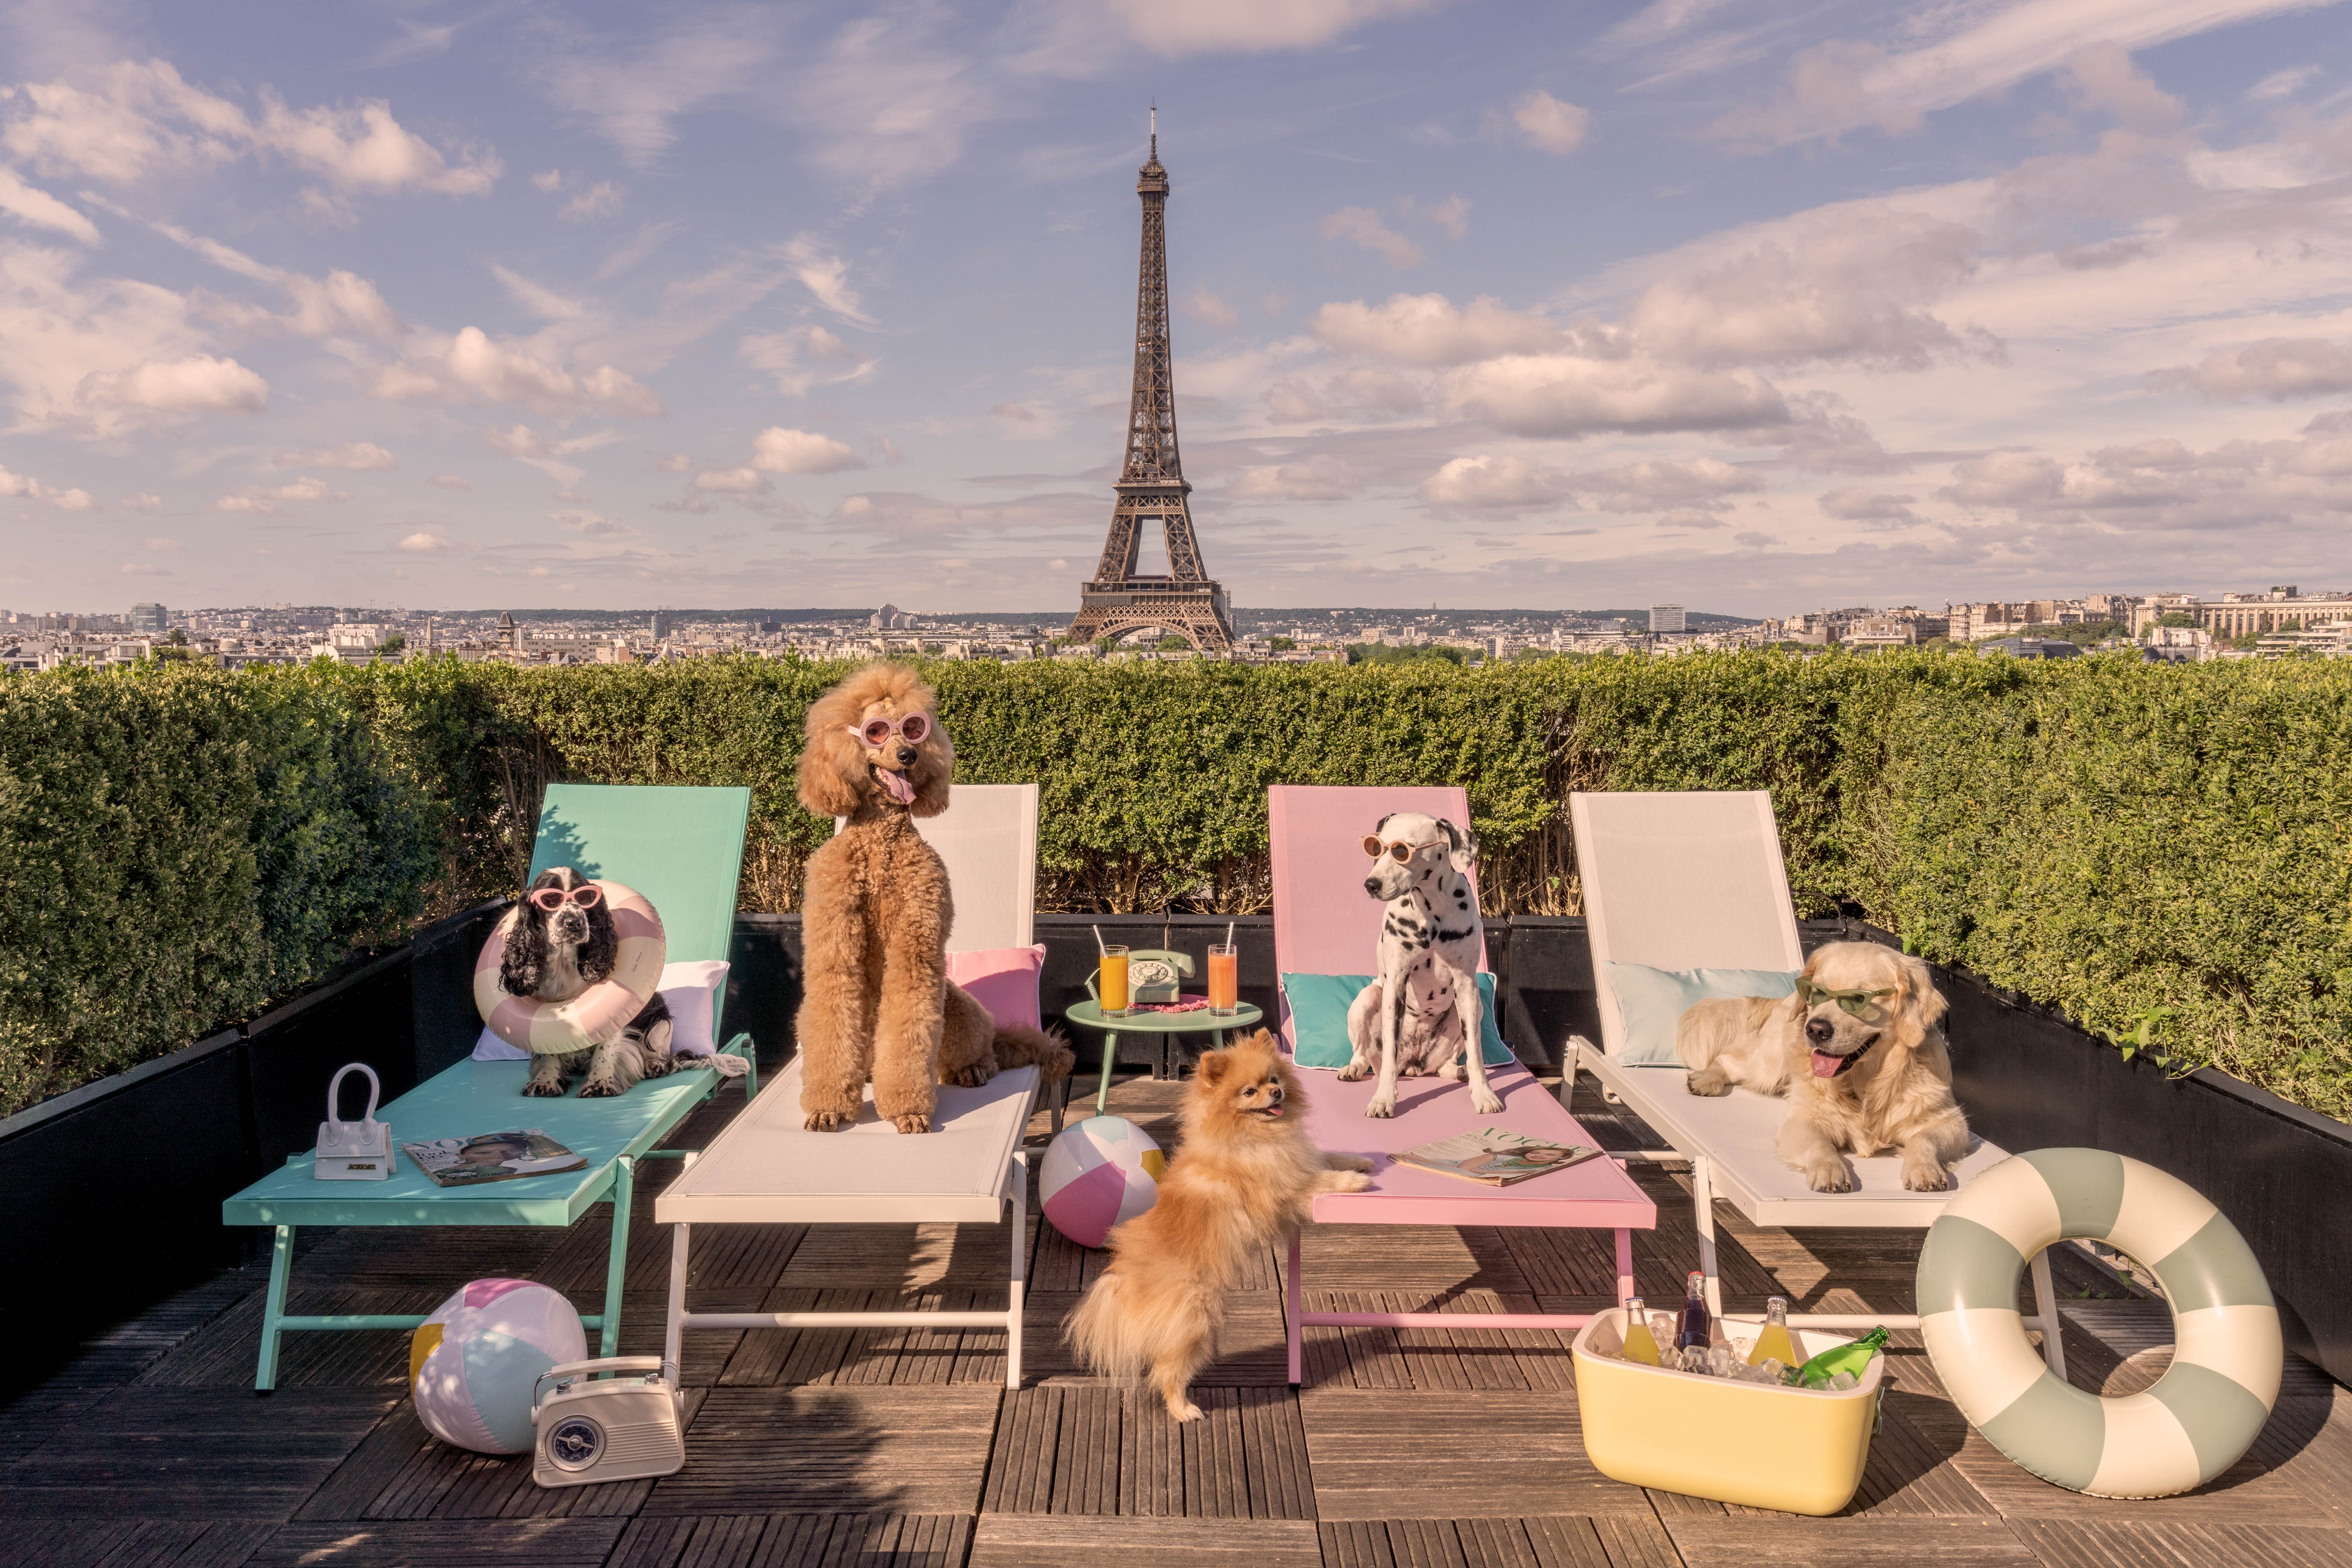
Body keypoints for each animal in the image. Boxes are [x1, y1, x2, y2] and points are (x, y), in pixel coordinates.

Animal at [800, 658, 1077, 1128]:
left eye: (913, 729)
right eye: (876, 730)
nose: (908, 755)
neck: (881, 846)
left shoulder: (916, 942)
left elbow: (910, 1025)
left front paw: (908, 1110)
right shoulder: (834, 943)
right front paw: (828, 1107)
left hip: (958, 1006)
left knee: (984, 1053)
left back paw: (974, 1069)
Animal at [1073, 1029, 1374, 1420]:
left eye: (1274, 1079)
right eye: (1249, 1092)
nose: (1276, 1092)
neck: (1250, 1136)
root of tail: (1124, 1279)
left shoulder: (1296, 1160)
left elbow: (1327, 1156)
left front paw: (1361, 1160)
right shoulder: (1287, 1189)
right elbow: (1322, 1179)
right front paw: (1355, 1181)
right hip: (1195, 1319)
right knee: (1167, 1371)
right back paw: (1184, 1409)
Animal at [1336, 818, 1496, 1123]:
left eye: (1403, 851)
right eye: (1376, 847)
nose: (1371, 884)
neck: (1431, 909)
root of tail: (1412, 1064)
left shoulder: (1467, 985)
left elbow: (1476, 1052)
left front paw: (1484, 1093)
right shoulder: (1396, 984)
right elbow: (1389, 1054)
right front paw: (1383, 1100)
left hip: (1475, 1007)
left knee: (1448, 1064)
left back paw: (1459, 1071)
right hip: (1367, 998)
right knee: (1363, 1055)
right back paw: (1353, 1069)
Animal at [1675, 945, 1966, 1189]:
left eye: (1858, 999)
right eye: (1818, 992)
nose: (1815, 1029)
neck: (1866, 1086)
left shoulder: (1949, 1121)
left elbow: (1922, 1139)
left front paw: (1925, 1170)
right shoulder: (1802, 1120)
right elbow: (1820, 1144)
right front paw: (1829, 1171)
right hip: (1767, 1065)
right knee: (1728, 1059)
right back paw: (1705, 1080)